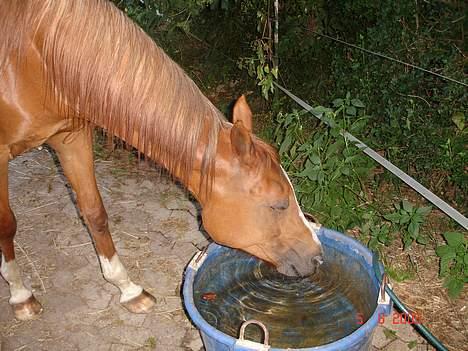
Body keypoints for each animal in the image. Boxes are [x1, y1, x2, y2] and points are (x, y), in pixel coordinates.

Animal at [0, 0, 322, 322]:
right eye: (278, 205)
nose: (317, 256)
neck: (35, 56)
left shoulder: (71, 137)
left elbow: (95, 213)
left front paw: (128, 289)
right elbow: (7, 224)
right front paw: (20, 295)